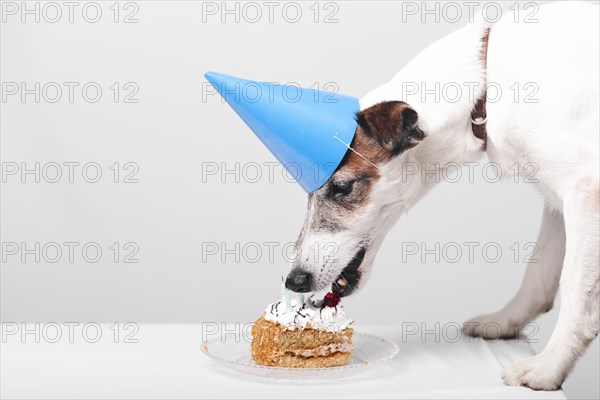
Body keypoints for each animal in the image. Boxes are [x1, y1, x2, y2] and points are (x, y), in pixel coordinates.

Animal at [284, 0, 600, 390]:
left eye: (342, 187)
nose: (293, 280)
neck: (487, 87)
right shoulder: (558, 199)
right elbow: (539, 274)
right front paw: (506, 322)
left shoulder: (585, 190)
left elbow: (575, 288)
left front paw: (549, 367)